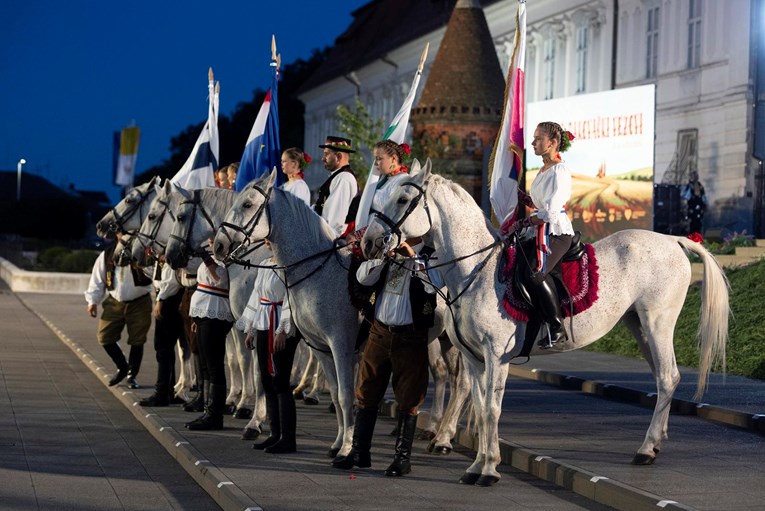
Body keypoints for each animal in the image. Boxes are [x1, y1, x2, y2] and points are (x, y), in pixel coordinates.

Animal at [358, 160, 728, 488]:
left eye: (402, 199)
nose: (368, 242)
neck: (476, 271)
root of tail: (674, 240)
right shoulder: (475, 359)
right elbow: (479, 404)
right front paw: (476, 466)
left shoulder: (496, 356)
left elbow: (491, 410)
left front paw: (489, 470)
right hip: (639, 327)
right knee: (664, 379)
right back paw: (656, 441)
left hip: (657, 323)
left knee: (667, 377)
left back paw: (646, 449)